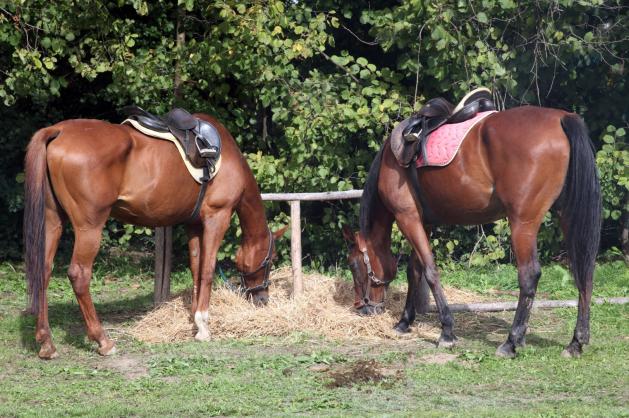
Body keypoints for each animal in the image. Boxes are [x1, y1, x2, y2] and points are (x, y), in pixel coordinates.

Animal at [22, 114, 282, 360]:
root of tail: (58, 130)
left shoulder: (193, 224)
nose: (262, 299)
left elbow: (196, 269)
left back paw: (46, 343)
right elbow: (207, 271)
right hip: (89, 227)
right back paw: (103, 340)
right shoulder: (217, 217)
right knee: (79, 275)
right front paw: (204, 326)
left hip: (53, 221)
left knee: (43, 271)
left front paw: (194, 321)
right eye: (270, 260)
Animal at [346, 106, 600, 358]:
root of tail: (561, 118)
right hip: (567, 216)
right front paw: (404, 322)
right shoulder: (422, 222)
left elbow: (430, 271)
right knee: (584, 274)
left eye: (354, 266)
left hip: (522, 224)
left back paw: (511, 342)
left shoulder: (407, 217)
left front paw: (447, 332)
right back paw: (576, 342)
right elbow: (414, 272)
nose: (361, 308)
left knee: (530, 276)